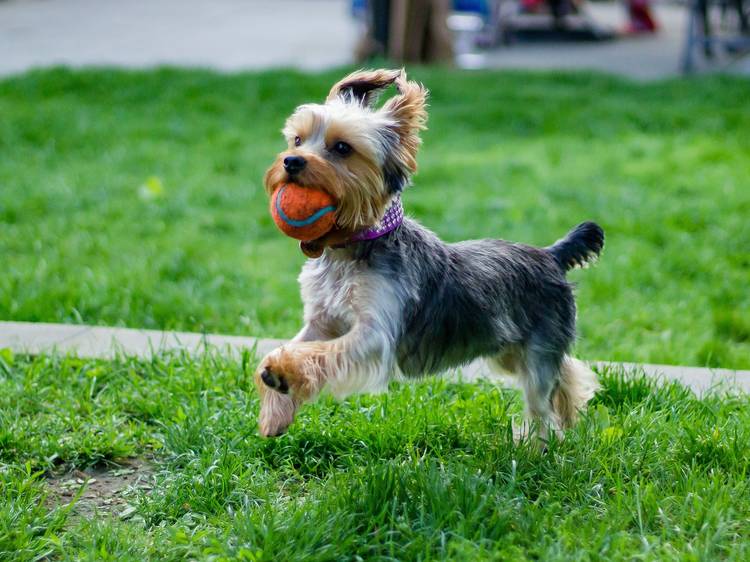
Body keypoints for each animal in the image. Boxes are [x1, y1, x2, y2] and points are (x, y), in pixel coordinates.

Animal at [256, 69, 604, 438]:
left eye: (342, 148)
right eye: (296, 140)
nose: (291, 161)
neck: (351, 246)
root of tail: (551, 255)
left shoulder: (375, 333)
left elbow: (322, 352)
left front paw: (283, 373)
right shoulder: (323, 319)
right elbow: (298, 344)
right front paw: (275, 405)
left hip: (538, 344)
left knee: (540, 403)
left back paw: (539, 443)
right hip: (506, 347)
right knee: (566, 374)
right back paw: (572, 411)